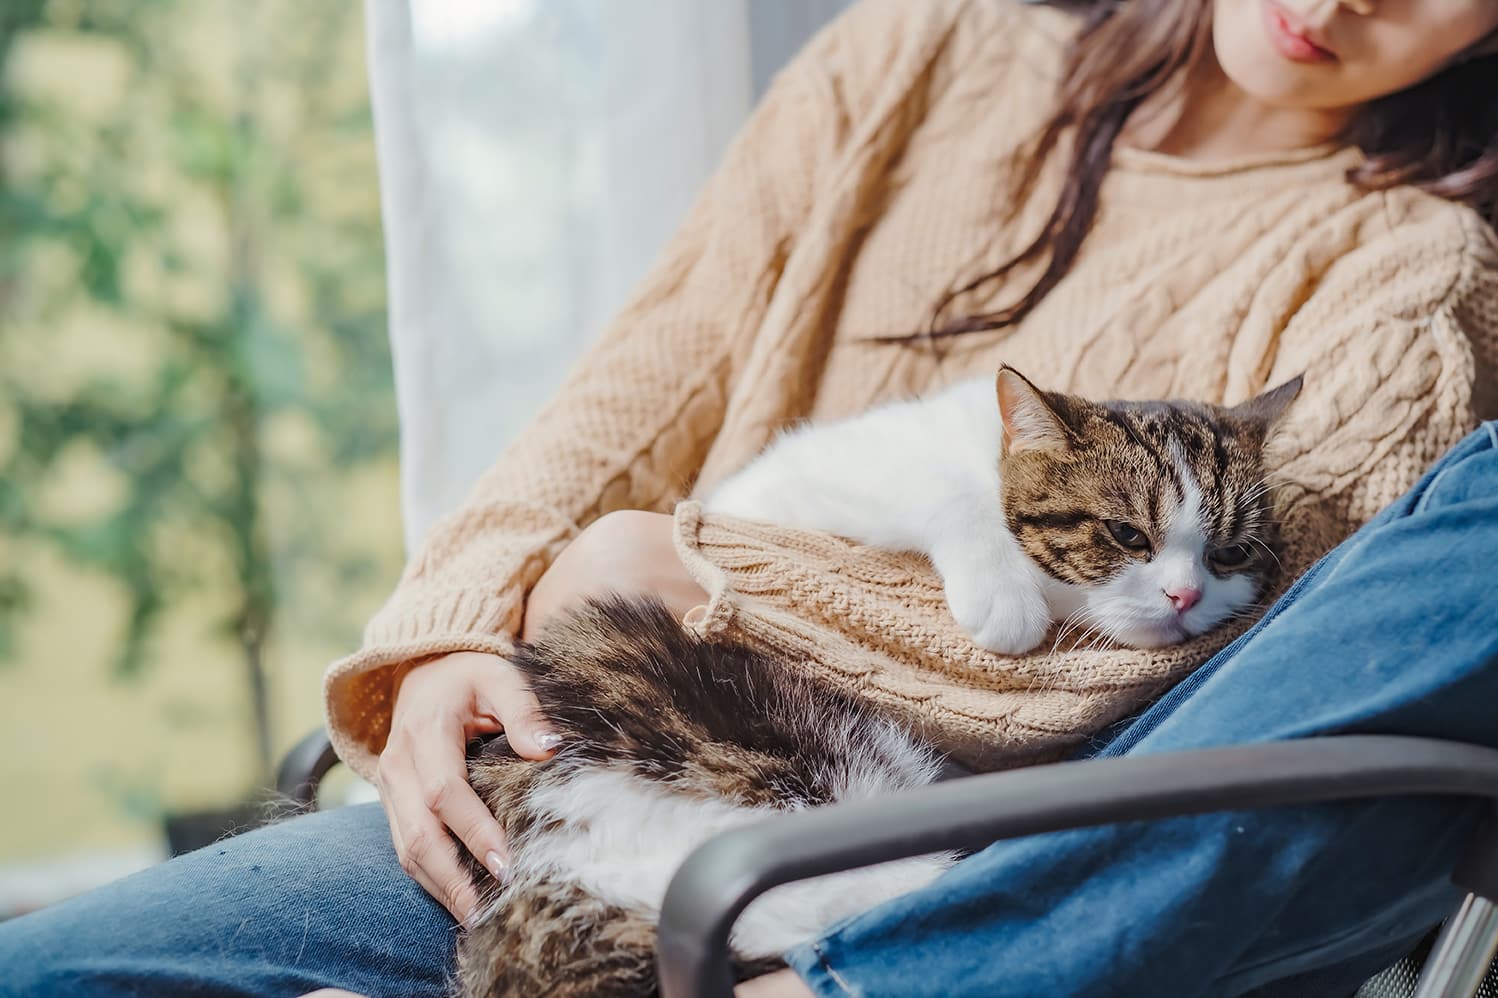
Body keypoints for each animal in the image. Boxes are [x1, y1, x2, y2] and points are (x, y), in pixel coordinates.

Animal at [452, 367, 1300, 995]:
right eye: (1127, 535)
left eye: (1228, 555)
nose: (1185, 596)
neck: (986, 447)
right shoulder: (794, 490)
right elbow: (940, 494)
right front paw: (1003, 597)